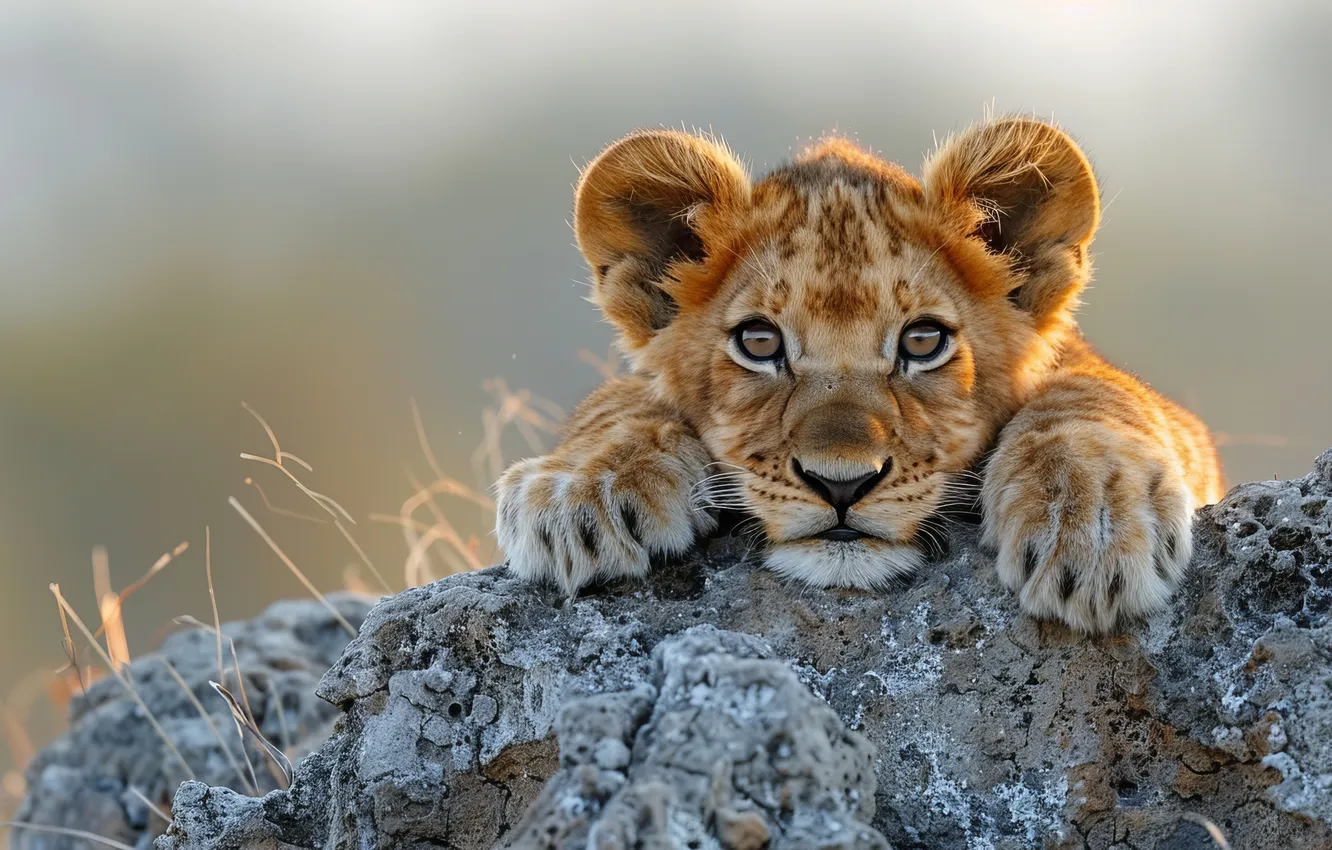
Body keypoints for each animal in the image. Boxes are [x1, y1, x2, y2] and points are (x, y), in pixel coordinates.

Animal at [494, 116, 1223, 634]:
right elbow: (624, 397)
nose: (839, 485)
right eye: (759, 342)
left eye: (923, 341)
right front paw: (579, 490)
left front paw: (1091, 520)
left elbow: (1090, 392)